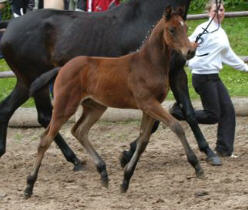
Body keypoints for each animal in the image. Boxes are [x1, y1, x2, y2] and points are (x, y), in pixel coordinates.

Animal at [0, 0, 220, 169]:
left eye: (185, 28)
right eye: (172, 30)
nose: (191, 50)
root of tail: (10, 25)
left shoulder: (176, 73)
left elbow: (188, 112)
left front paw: (209, 152)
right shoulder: (147, 90)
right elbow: (158, 121)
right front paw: (127, 154)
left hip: (26, 82)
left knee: (8, 108)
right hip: (35, 80)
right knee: (45, 116)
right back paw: (75, 160)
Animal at [25, 6, 203, 197]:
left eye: (185, 27)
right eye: (172, 30)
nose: (190, 51)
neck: (149, 63)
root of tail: (62, 68)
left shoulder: (149, 107)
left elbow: (143, 141)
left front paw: (125, 180)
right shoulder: (148, 103)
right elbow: (176, 126)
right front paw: (196, 165)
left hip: (95, 107)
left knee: (79, 131)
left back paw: (103, 172)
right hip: (64, 107)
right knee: (46, 139)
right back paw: (29, 185)